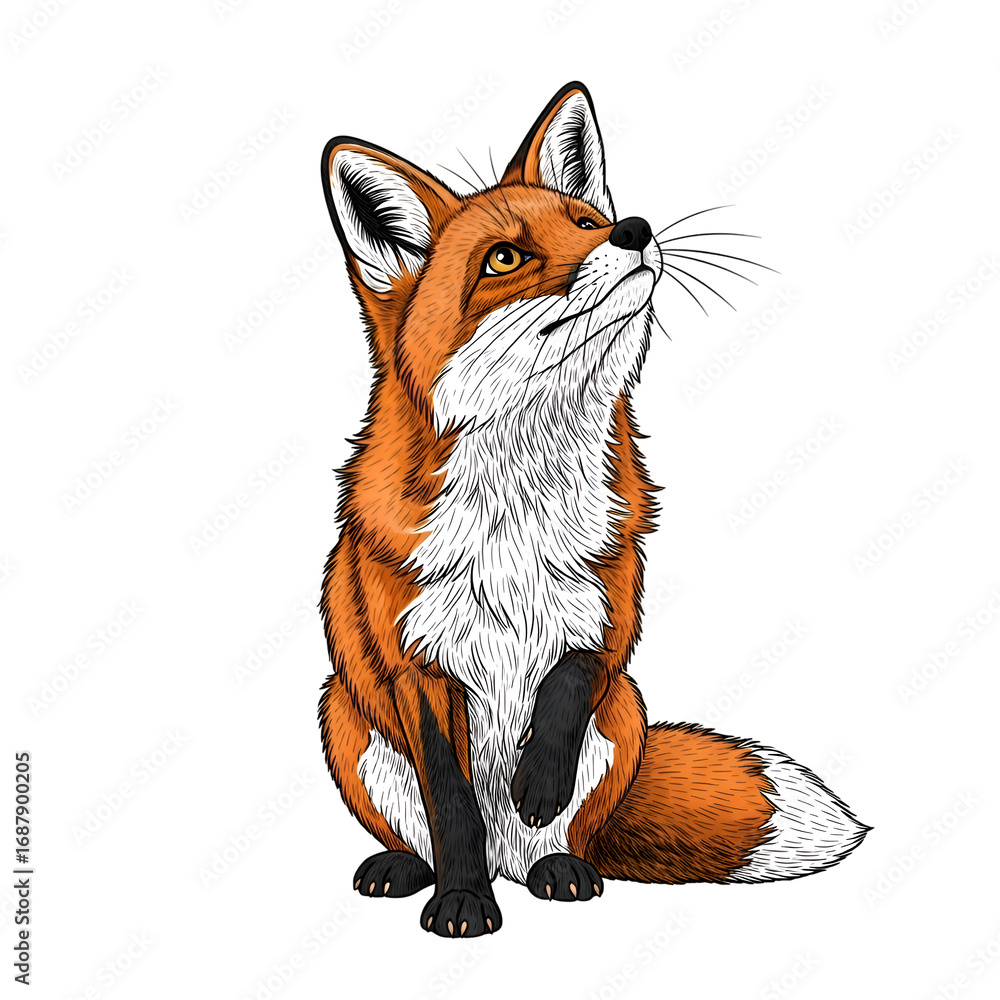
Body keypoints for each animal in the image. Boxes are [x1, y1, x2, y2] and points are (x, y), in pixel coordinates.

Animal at [317, 81, 867, 938]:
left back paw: (558, 867)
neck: (518, 510)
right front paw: (462, 905)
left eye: (585, 222)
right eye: (504, 258)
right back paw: (409, 869)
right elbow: (454, 804)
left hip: (625, 717)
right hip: (345, 720)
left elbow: (571, 681)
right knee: (422, 833)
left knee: (570, 837)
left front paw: (536, 780)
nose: (632, 228)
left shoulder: (607, 614)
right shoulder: (415, 665)